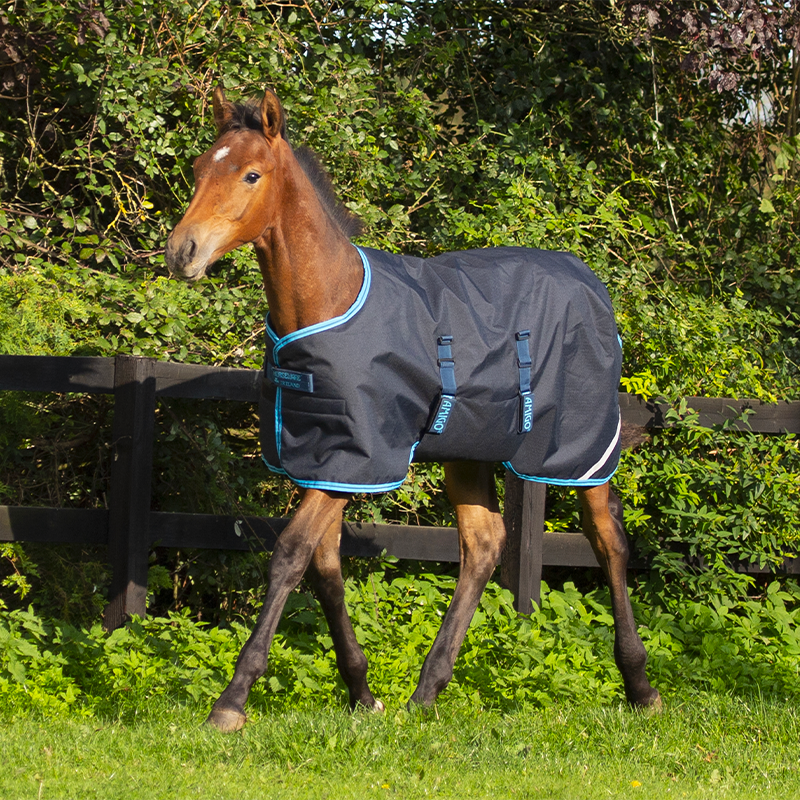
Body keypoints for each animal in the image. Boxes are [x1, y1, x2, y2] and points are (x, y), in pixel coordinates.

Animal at [165, 86, 661, 732]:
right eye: (201, 168)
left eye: (251, 174)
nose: (183, 252)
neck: (330, 300)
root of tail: (591, 283)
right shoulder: (326, 460)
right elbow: (325, 566)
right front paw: (362, 692)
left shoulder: (359, 457)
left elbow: (290, 555)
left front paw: (231, 701)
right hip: (468, 450)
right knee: (483, 544)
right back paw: (428, 690)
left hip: (580, 448)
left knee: (607, 541)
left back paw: (641, 686)